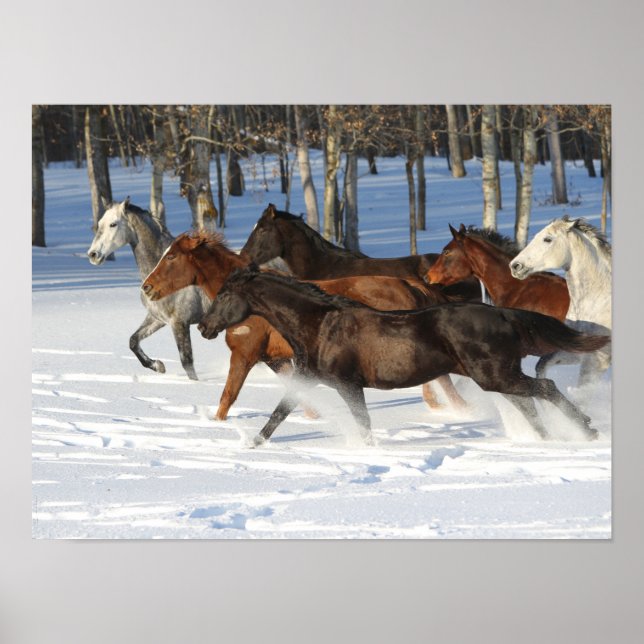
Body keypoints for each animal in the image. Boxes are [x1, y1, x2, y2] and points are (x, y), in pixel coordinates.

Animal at [86, 197, 210, 380]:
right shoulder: (157, 318)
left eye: (113, 224)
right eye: (100, 222)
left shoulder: (180, 322)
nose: (93, 255)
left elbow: (187, 363)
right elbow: (133, 341)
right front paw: (158, 366)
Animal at [141, 231, 467, 419]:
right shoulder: (275, 359)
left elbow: (227, 398)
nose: (147, 287)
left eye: (171, 256)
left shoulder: (245, 355)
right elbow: (301, 398)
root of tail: (411, 286)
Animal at [198, 266, 609, 447]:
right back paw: (546, 439)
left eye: (224, 295)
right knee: (530, 400)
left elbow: (362, 422)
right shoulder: (308, 379)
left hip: (495, 374)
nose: (203, 328)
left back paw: (587, 431)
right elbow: (279, 413)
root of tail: (503, 314)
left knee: (546, 387)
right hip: (497, 376)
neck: (319, 325)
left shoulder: (347, 384)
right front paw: (253, 445)